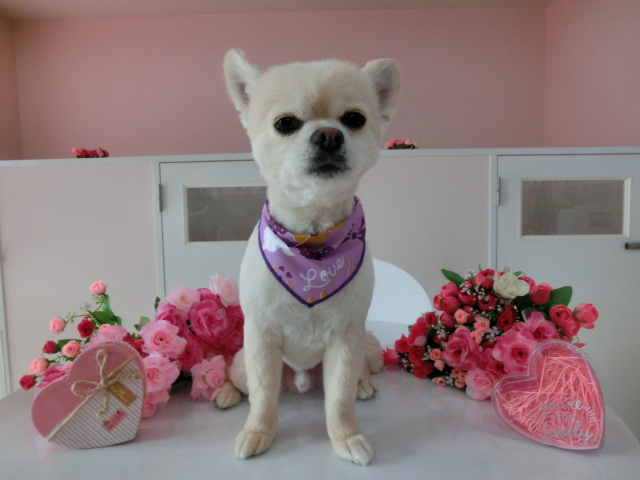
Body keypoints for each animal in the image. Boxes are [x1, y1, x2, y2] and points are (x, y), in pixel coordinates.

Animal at [215, 49, 401, 466]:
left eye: (354, 119)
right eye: (285, 123)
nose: (328, 135)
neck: (313, 242)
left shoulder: (347, 339)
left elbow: (339, 400)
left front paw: (347, 436)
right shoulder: (261, 339)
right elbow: (263, 397)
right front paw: (258, 432)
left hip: (361, 352)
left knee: (356, 376)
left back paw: (364, 385)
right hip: (241, 362)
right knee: (241, 381)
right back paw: (225, 392)